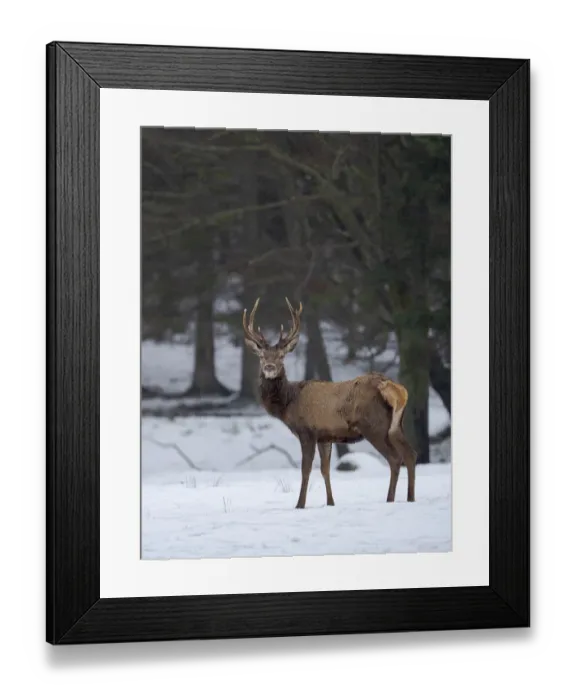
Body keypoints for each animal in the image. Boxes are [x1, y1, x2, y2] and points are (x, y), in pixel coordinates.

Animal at [242, 297, 418, 510]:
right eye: (261, 356)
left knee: (395, 458)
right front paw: (330, 503)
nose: (269, 367)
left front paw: (300, 504)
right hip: (396, 426)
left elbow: (306, 469)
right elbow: (325, 469)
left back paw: (390, 499)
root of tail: (394, 388)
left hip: (374, 426)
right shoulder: (325, 436)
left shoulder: (307, 432)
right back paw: (410, 498)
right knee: (411, 454)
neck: (289, 402)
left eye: (281, 356)